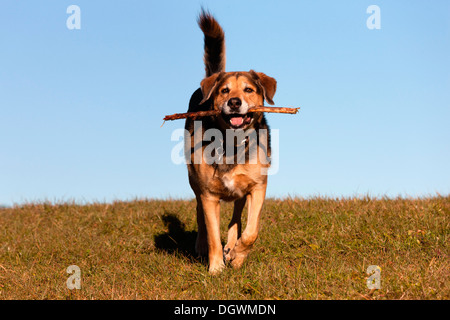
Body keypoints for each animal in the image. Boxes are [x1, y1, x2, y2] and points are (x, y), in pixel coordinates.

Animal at [185, 10, 276, 276]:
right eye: (224, 91)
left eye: (248, 90)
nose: (235, 102)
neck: (232, 143)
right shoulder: (208, 194)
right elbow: (213, 234)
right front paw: (215, 268)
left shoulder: (258, 186)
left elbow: (251, 231)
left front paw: (236, 256)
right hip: (193, 180)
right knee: (200, 214)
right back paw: (202, 245)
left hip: (242, 191)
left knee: (236, 216)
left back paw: (232, 246)